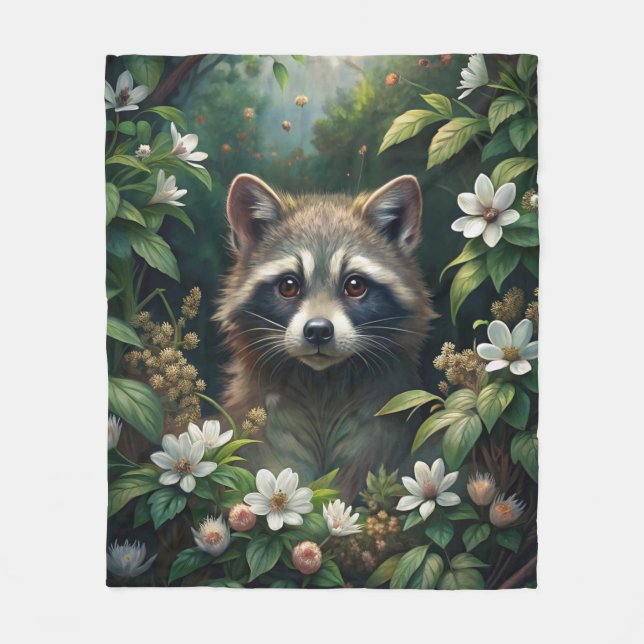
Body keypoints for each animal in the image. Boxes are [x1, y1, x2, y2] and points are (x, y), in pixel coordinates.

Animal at [214, 174, 437, 500]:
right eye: (289, 286)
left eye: (355, 285)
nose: (318, 330)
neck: (321, 383)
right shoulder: (264, 420)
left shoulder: (382, 420)